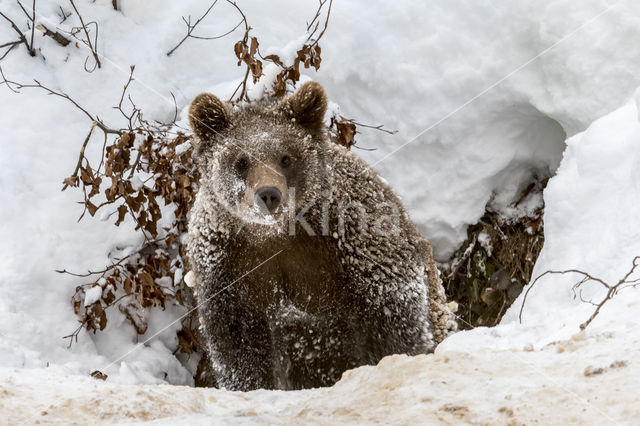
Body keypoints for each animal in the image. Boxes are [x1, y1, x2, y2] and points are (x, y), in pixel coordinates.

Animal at [185, 81, 456, 392]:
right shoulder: (227, 266)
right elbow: (238, 342)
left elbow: (395, 312)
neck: (277, 235)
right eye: (241, 161)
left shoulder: (355, 237)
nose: (269, 195)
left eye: (286, 157)